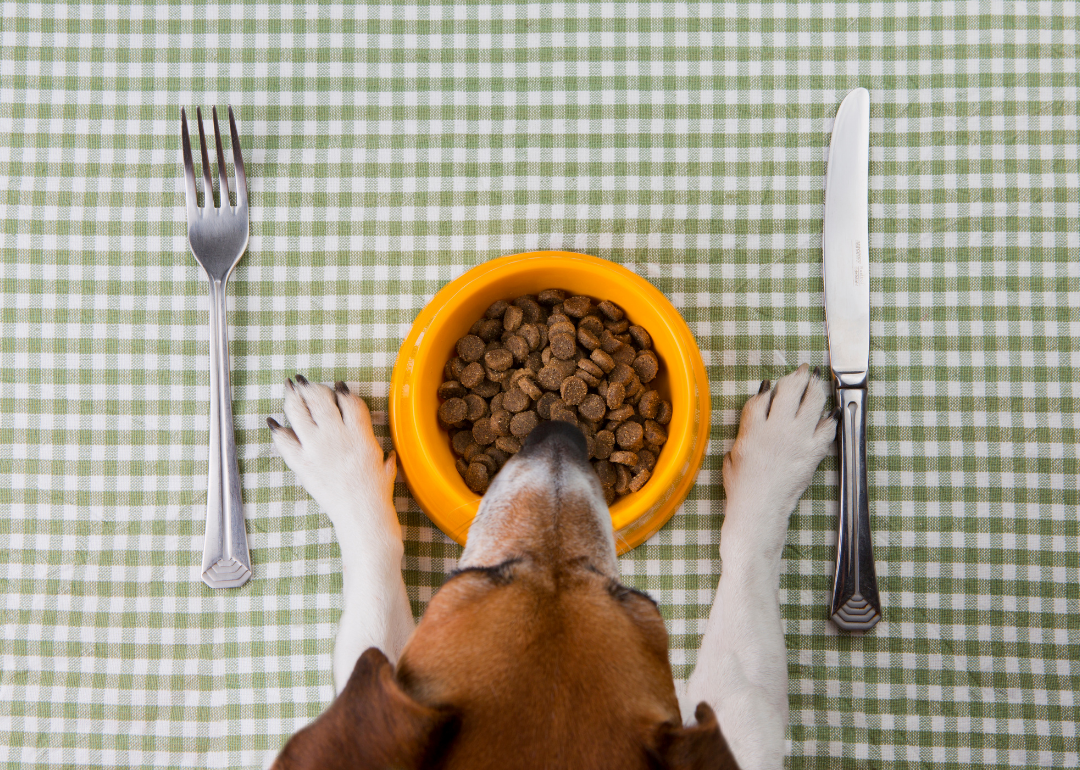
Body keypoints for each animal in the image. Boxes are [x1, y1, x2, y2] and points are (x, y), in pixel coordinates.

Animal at [267, 362, 833, 768]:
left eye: (626, 594)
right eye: (487, 573)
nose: (558, 430)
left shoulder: (746, 727)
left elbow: (746, 560)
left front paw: (778, 450)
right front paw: (338, 454)